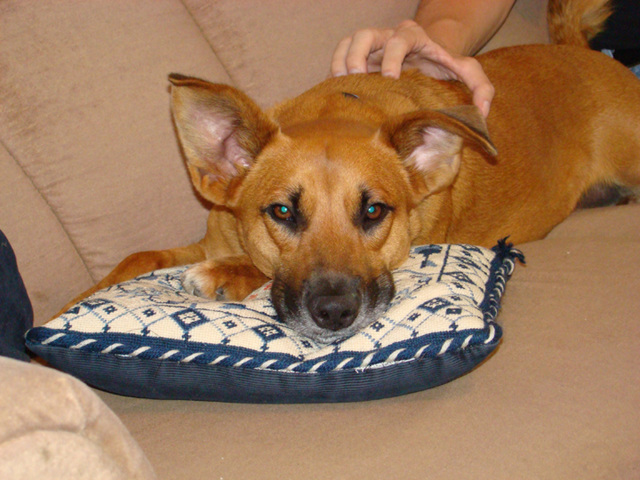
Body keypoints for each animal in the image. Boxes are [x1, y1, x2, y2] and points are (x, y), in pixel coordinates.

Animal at [65, 1, 640, 344]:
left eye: (374, 210)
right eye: (281, 211)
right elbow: (138, 257)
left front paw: (227, 274)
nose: (335, 313)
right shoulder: (206, 239)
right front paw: (79, 299)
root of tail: (583, 52)